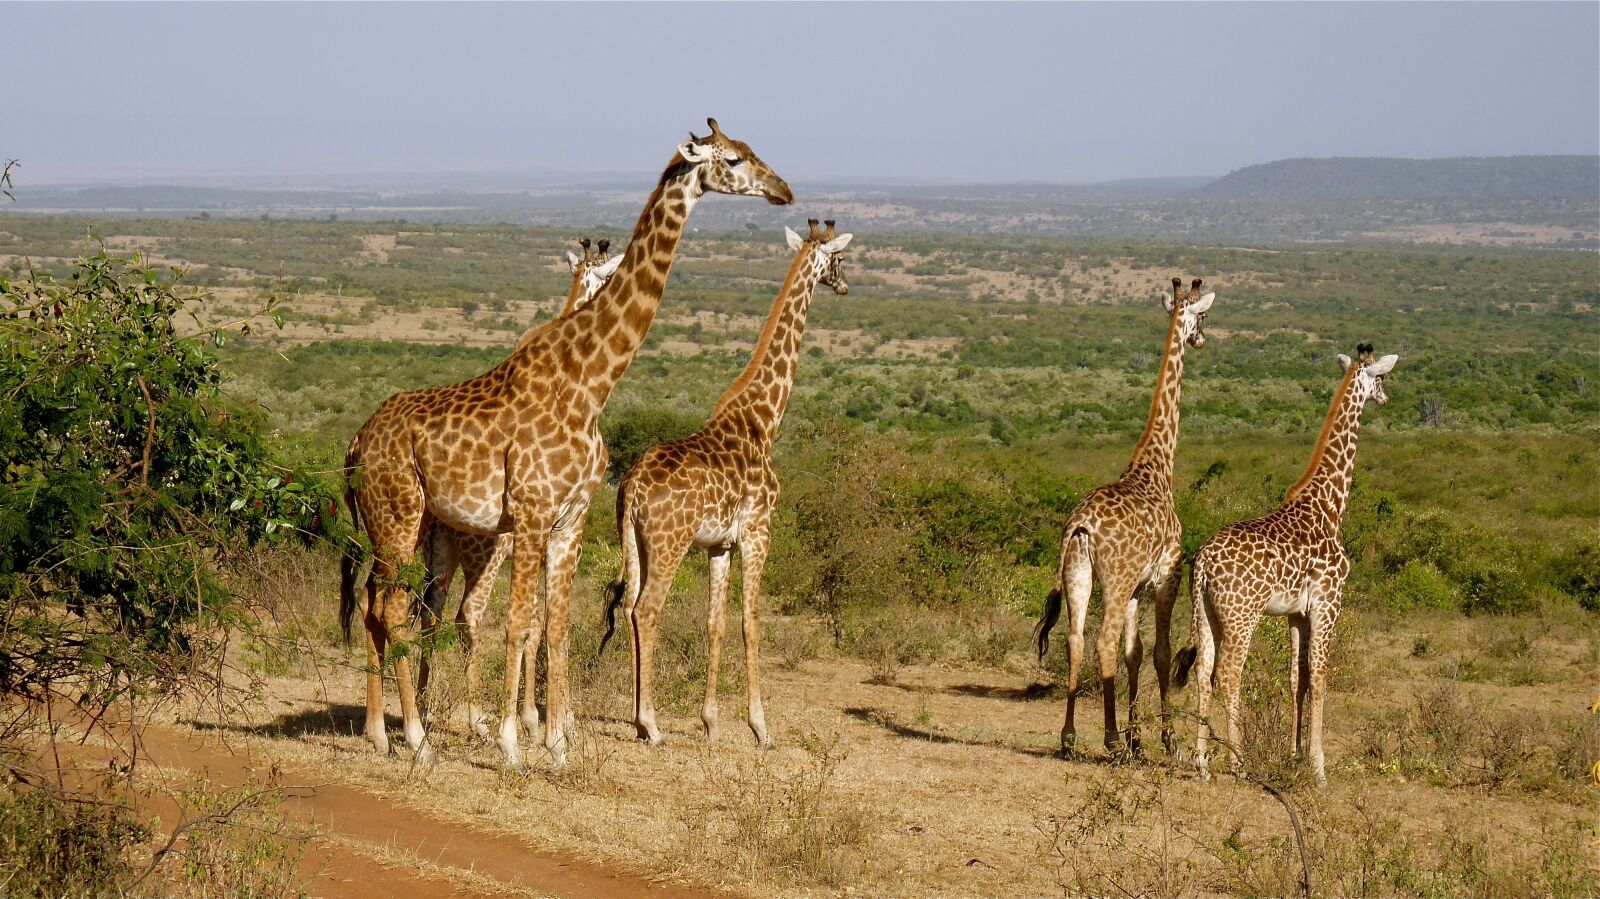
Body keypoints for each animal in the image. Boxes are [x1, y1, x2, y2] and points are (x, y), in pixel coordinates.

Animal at [412, 235, 624, 739]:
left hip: (438, 546)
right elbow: (538, 620)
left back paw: (426, 708)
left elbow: (537, 618)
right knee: (468, 616)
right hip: (486, 549)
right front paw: (541, 718)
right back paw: (476, 718)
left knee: (431, 610)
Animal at [598, 215, 851, 742]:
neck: (763, 419)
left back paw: (637, 720)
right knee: (646, 610)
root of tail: (631, 488)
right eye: (839, 258)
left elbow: (715, 623)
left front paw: (711, 722)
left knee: (628, 606)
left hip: (633, 540)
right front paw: (761, 728)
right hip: (669, 542)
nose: (844, 283)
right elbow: (751, 622)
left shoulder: (719, 544)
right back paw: (651, 724)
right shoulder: (759, 531)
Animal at [1177, 339, 1401, 780]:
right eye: (1381, 377)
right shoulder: (1329, 602)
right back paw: (1238, 760)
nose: (1385, 398)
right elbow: (1320, 676)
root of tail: (1204, 563)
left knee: (1203, 672)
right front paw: (1318, 767)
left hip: (1203, 613)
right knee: (1229, 674)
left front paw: (1294, 754)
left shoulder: (1297, 612)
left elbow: (1297, 676)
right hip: (1242, 615)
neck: (1330, 506)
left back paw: (1202, 763)